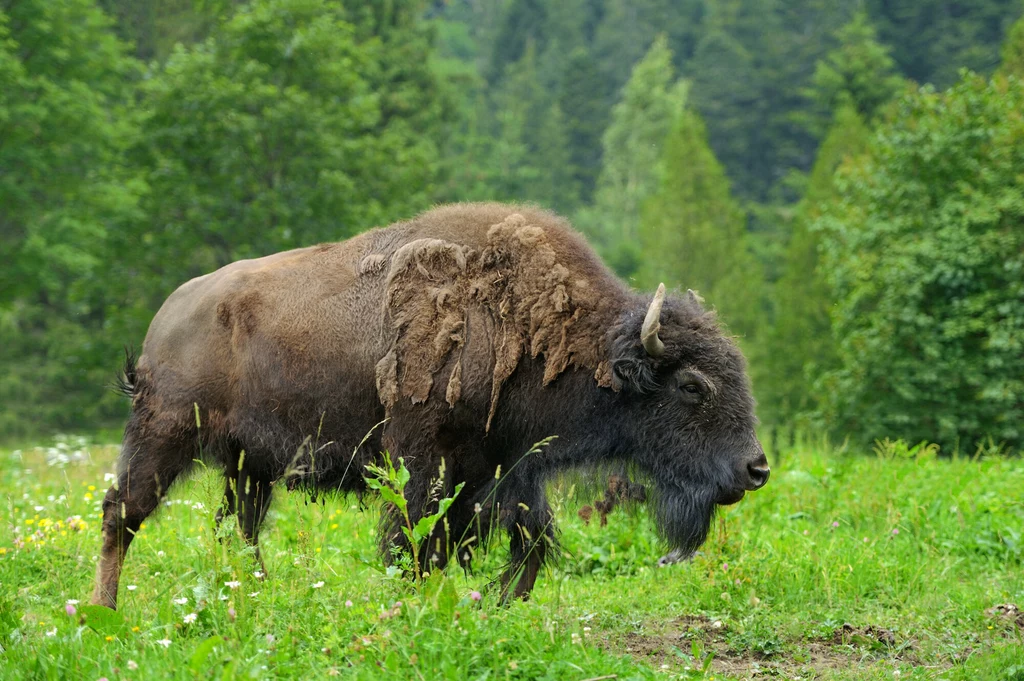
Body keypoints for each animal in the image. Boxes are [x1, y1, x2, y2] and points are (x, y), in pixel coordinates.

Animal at [92, 200, 770, 606]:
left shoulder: (503, 468)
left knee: (240, 529)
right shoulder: (427, 461)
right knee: (121, 513)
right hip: (164, 436)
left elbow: (527, 545)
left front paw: (492, 600)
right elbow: (418, 544)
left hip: (247, 466)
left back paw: (252, 597)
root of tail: (169, 315)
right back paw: (103, 610)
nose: (756, 468)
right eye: (692, 386)